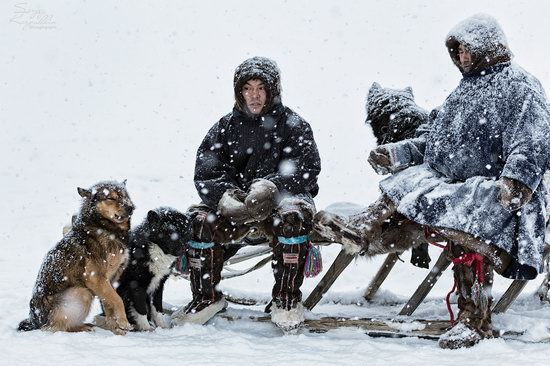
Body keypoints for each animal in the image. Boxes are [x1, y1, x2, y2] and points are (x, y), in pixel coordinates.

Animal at [19, 180, 137, 334]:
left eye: (125, 196)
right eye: (110, 198)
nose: (131, 207)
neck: (104, 228)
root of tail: (35, 322)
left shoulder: (110, 280)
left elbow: (109, 306)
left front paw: (115, 330)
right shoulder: (96, 278)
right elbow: (118, 300)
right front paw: (124, 322)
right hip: (81, 292)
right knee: (56, 327)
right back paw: (80, 327)